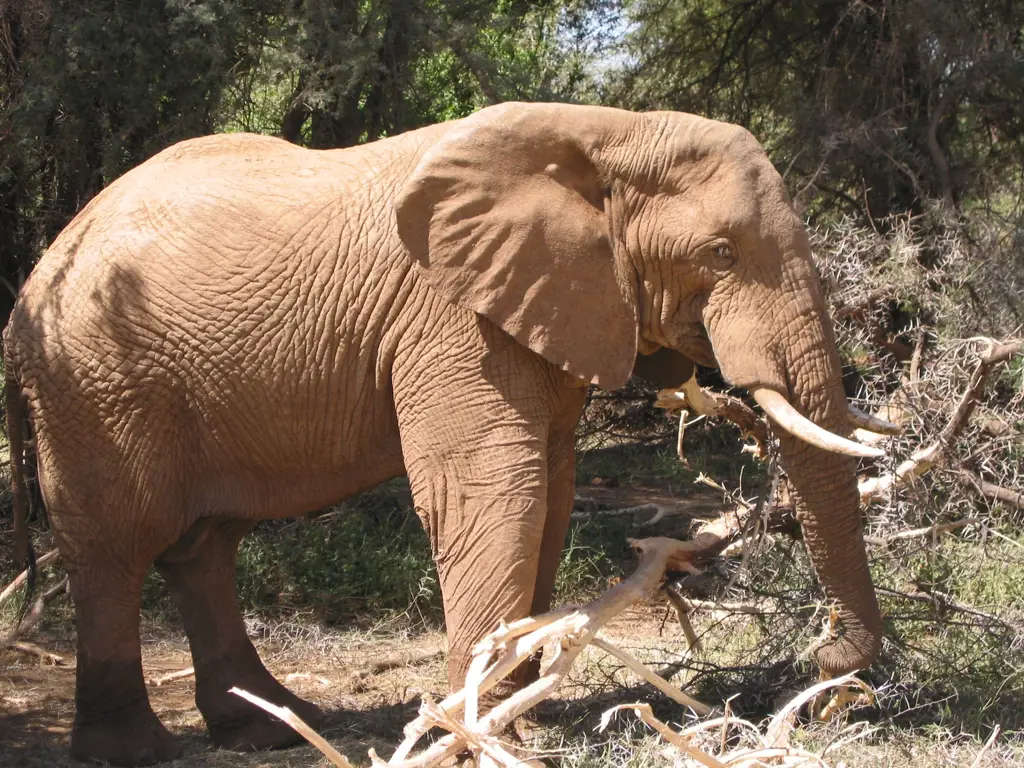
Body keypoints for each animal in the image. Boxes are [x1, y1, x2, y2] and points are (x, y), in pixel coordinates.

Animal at [4, 100, 892, 765]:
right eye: (720, 253)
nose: (827, 670)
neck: (608, 131)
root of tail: (31, 287)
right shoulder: (452, 319)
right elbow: (496, 491)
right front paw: (486, 736)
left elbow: (552, 496)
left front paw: (516, 715)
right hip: (98, 379)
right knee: (119, 544)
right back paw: (134, 750)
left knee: (205, 545)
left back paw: (273, 726)